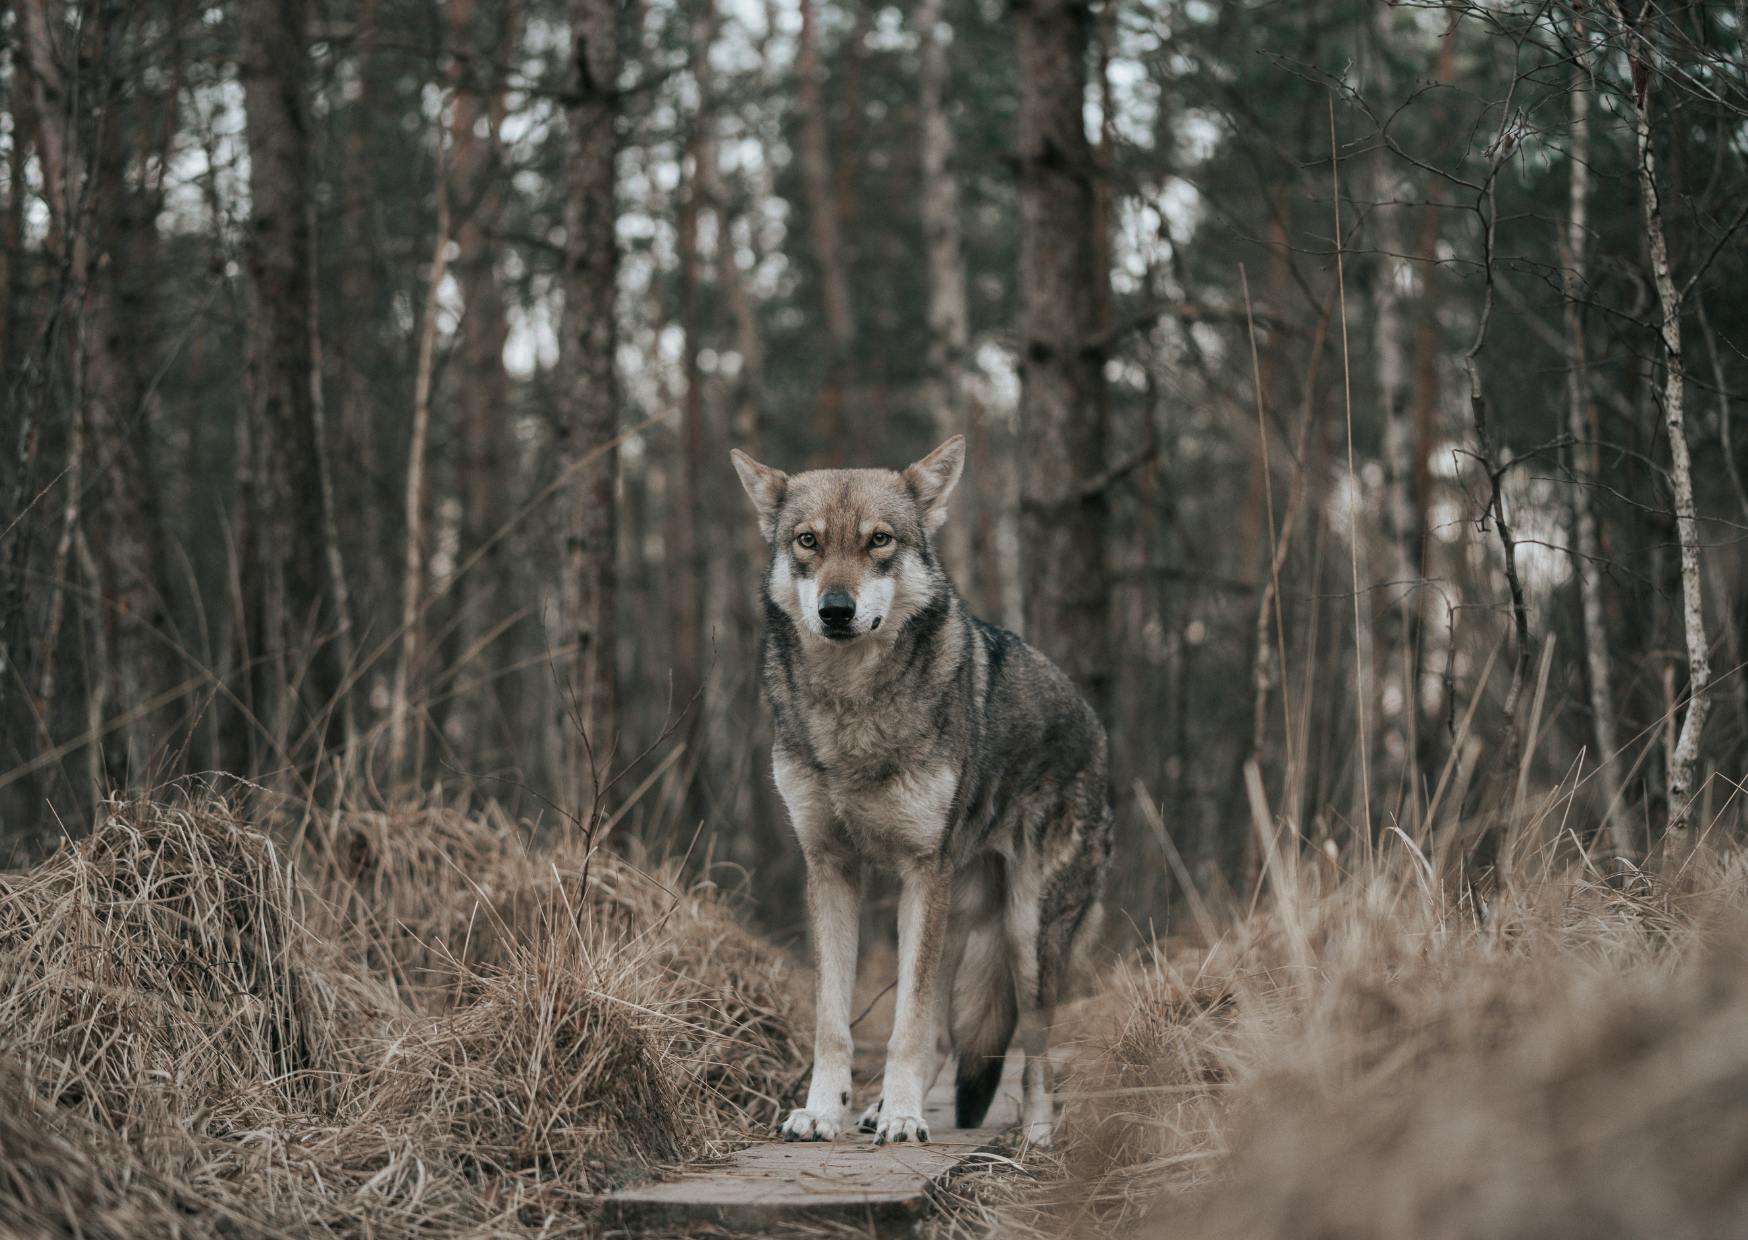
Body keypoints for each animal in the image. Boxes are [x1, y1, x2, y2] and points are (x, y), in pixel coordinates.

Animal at [730, 434, 1113, 1147]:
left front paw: (905, 1118)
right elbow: (834, 1022)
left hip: (1025, 934)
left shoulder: (919, 871)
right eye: (808, 541)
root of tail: (1096, 725)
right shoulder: (830, 869)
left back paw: (1035, 1135)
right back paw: (878, 1108)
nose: (836, 610)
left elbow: (905, 1025)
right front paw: (823, 1112)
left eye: (879, 540)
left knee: (1036, 1050)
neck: (853, 708)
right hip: (956, 913)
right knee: (944, 1033)